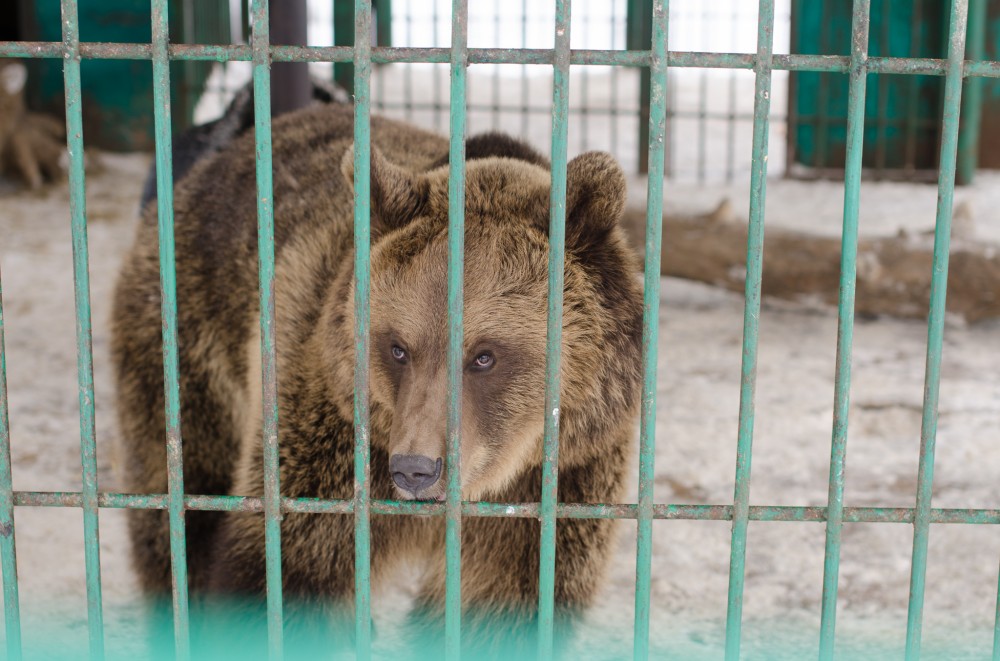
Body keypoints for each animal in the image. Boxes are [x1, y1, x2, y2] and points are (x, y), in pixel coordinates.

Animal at [109, 103, 640, 656]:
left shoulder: (556, 481)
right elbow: (286, 570)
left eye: (484, 356)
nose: (416, 469)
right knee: (180, 496)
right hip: (191, 334)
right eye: (398, 346)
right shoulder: (333, 447)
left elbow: (501, 603)